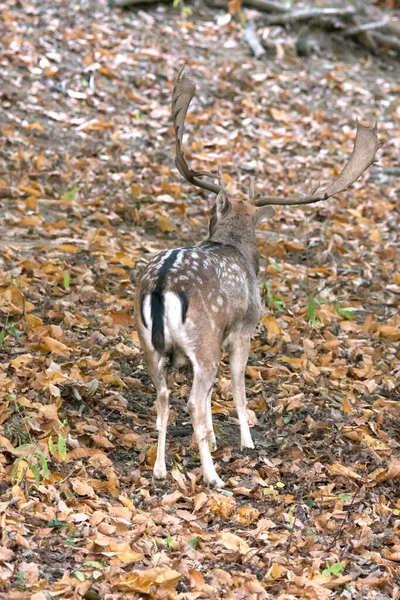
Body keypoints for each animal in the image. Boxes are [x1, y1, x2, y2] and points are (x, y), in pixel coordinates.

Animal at [134, 68, 382, 488]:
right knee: (193, 401)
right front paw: (246, 441)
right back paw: (213, 477)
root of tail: (162, 285)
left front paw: (214, 439)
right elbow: (236, 387)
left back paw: (160, 469)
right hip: (203, 340)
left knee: (164, 397)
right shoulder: (243, 328)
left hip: (149, 344)